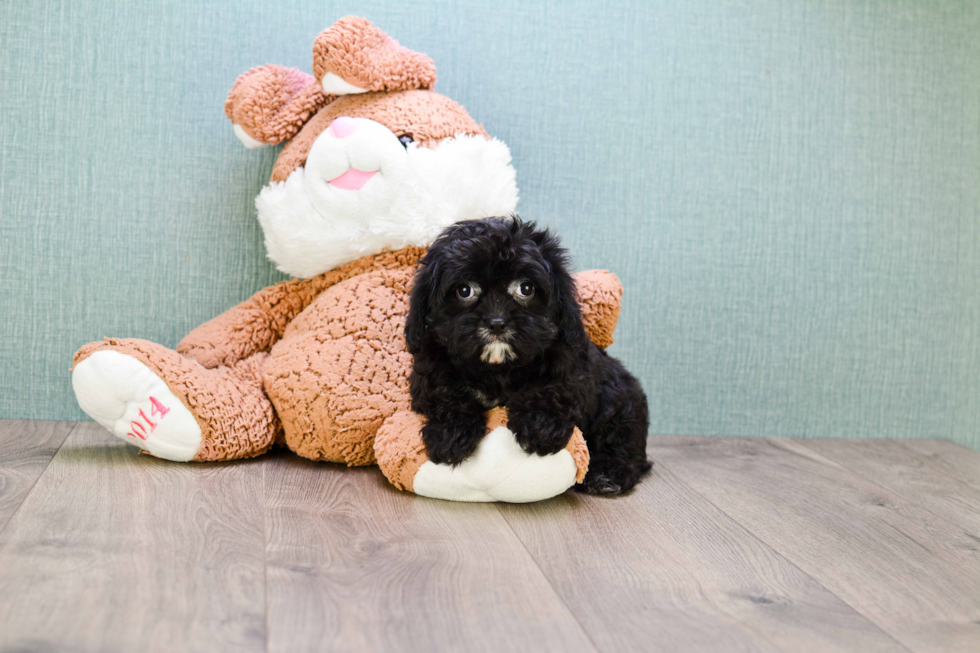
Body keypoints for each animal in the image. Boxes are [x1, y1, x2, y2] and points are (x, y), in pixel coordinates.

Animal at [406, 216, 652, 492]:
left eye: (525, 288)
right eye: (464, 290)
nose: (497, 322)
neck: (497, 369)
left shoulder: (571, 366)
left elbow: (554, 389)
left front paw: (540, 426)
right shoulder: (430, 370)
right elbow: (445, 395)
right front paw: (450, 434)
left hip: (618, 398)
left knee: (624, 446)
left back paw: (607, 474)